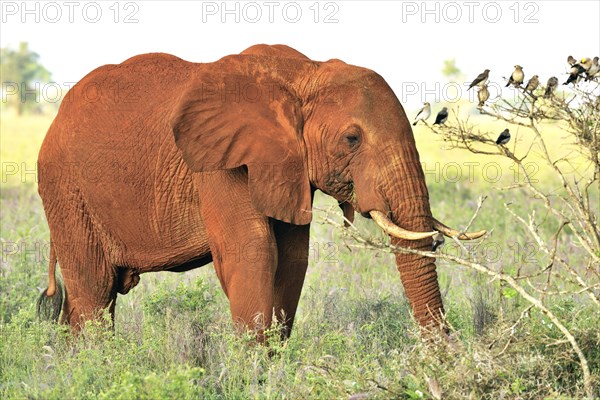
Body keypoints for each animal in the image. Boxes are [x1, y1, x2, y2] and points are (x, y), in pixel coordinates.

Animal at [36, 43, 488, 338]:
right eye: (352, 139)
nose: (447, 347)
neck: (305, 73)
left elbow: (292, 258)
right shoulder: (220, 162)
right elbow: (253, 250)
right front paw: (251, 372)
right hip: (65, 188)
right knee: (94, 290)